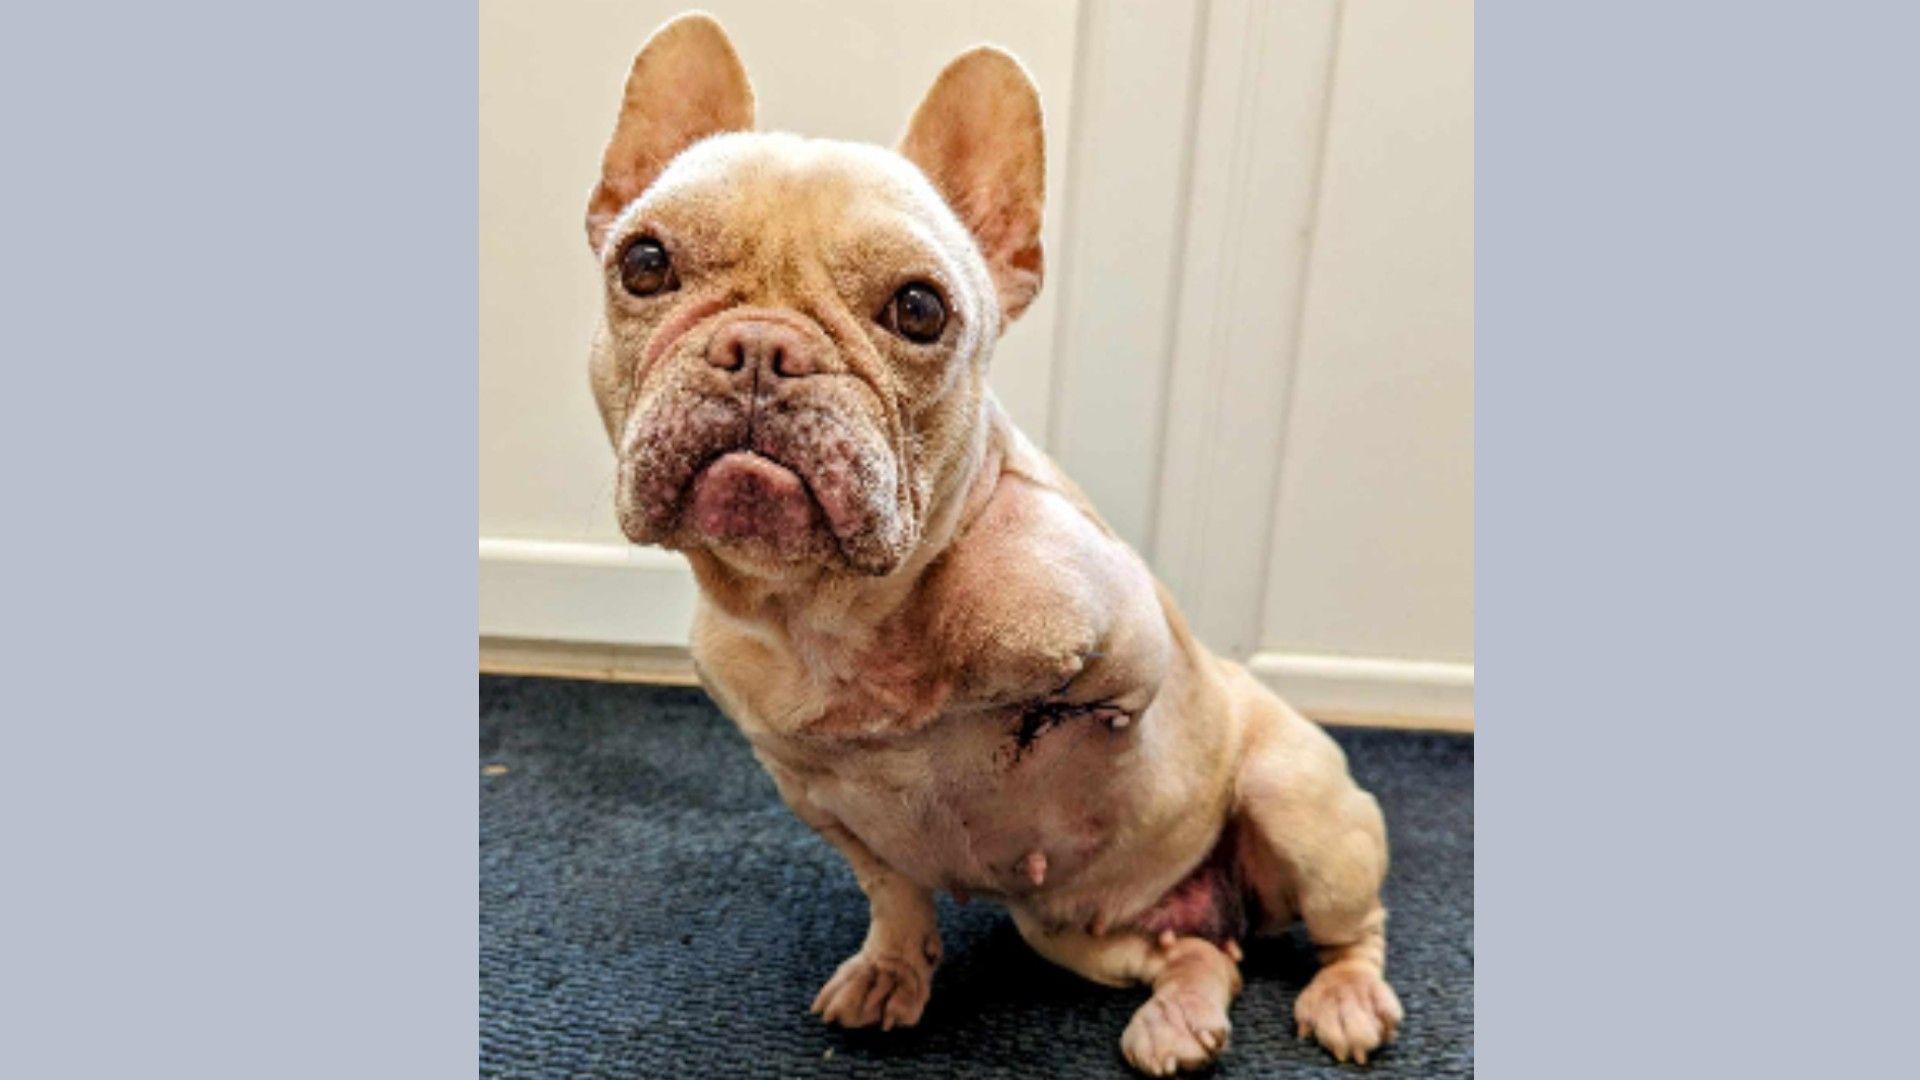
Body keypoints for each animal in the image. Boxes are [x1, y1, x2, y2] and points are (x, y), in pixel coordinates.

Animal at [576, 14, 1405, 1068]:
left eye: (920, 309)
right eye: (644, 263)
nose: (762, 347)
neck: (833, 610)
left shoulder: (1128, 631)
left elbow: (1096, 695)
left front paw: (1047, 721)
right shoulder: (822, 803)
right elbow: (894, 893)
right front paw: (893, 968)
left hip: (1298, 804)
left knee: (1351, 926)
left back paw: (1345, 998)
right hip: (1071, 930)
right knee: (1200, 955)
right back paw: (1180, 1015)